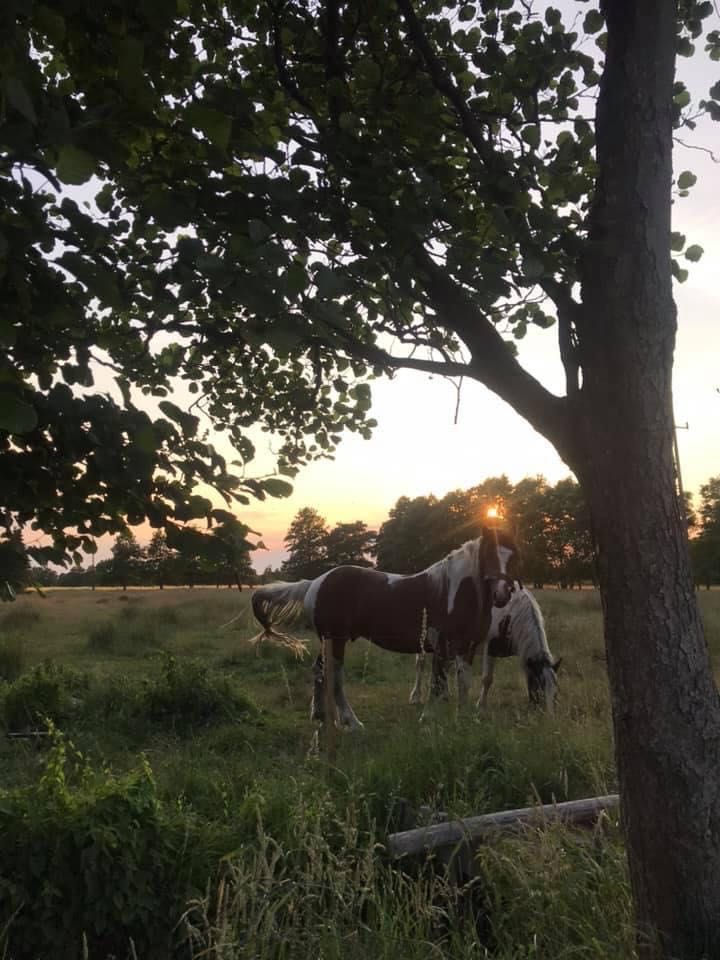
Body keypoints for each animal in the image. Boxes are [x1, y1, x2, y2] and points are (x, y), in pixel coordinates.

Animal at [250, 524, 520, 728]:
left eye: (514, 555)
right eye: (489, 554)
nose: (502, 595)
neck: (456, 592)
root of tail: (315, 582)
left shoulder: (468, 647)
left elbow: (464, 683)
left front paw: (463, 718)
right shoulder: (442, 646)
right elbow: (437, 683)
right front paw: (428, 717)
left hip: (328, 640)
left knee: (319, 671)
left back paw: (319, 715)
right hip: (336, 639)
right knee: (334, 676)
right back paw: (351, 722)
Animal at [408, 584, 560, 712]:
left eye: (556, 692)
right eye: (538, 689)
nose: (548, 719)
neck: (508, 612)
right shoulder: (490, 648)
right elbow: (487, 679)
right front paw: (480, 705)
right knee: (420, 664)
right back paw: (415, 696)